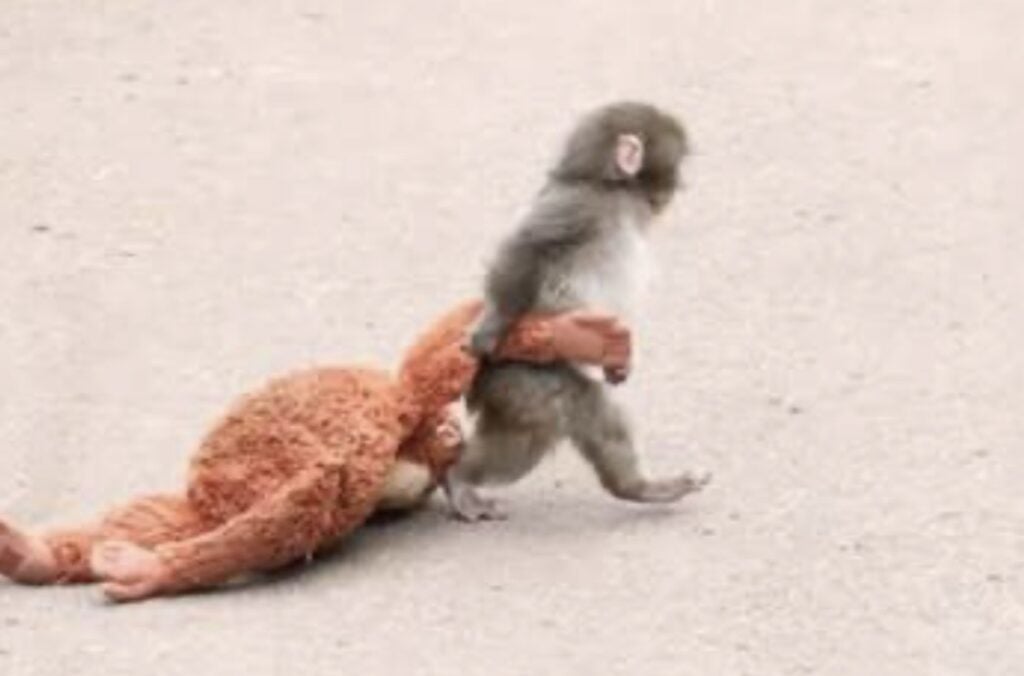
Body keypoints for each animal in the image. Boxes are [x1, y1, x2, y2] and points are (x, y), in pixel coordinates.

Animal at [443, 101, 711, 521]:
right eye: (677, 164)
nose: (679, 186)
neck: (609, 189)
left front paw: (619, 365)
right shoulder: (578, 207)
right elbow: (527, 247)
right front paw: (491, 326)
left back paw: (640, 488)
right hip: (523, 375)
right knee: (557, 415)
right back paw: (458, 478)